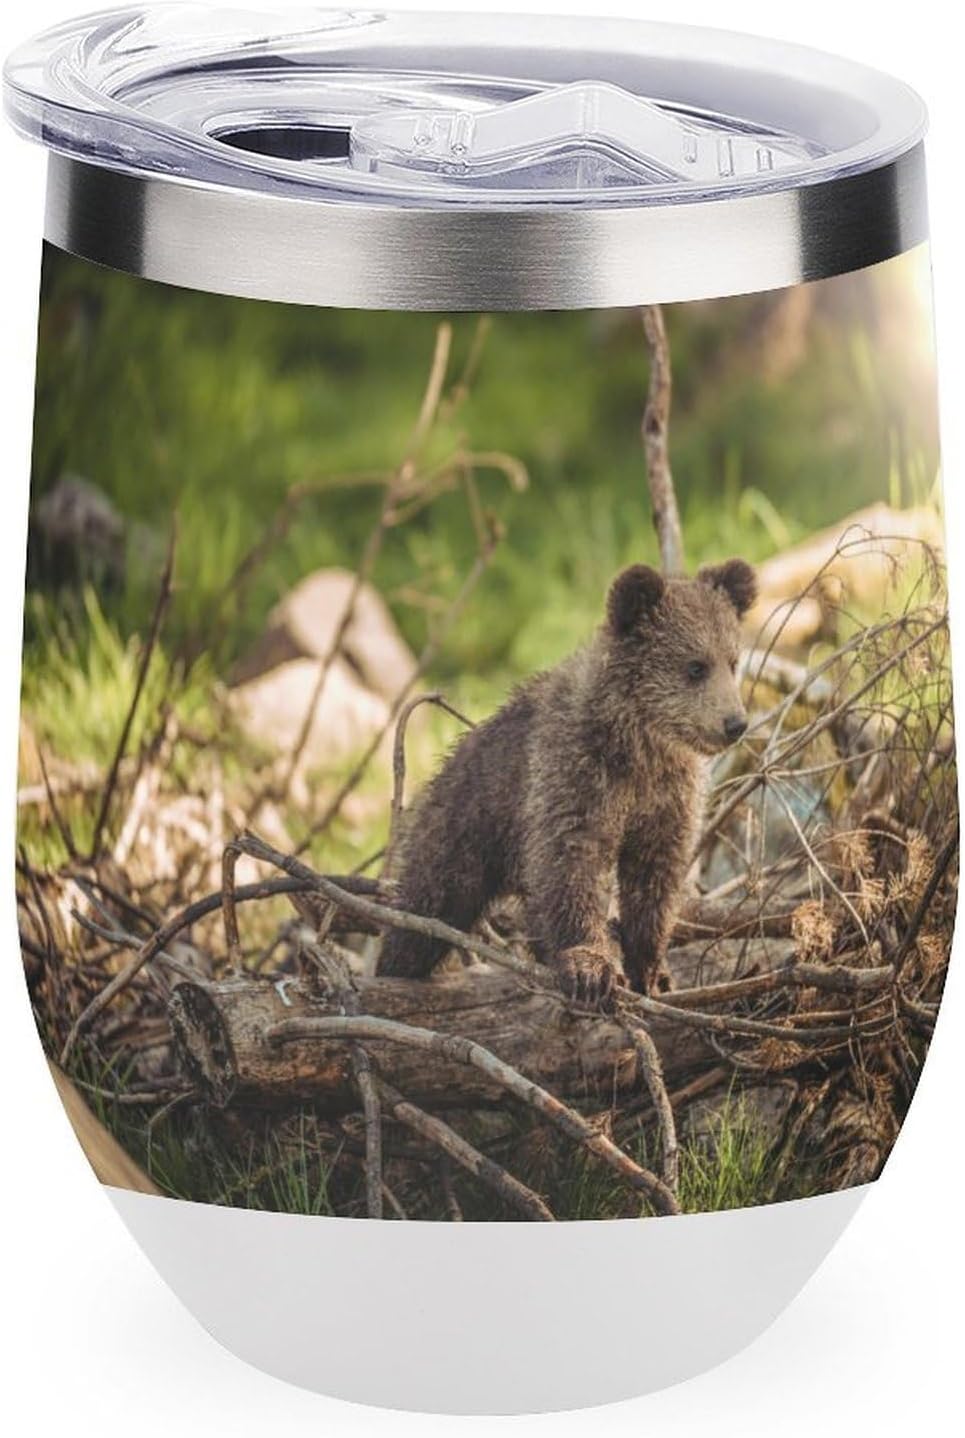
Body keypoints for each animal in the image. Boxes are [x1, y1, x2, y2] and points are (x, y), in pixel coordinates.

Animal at [377, 558, 757, 1003]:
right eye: (695, 666)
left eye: (733, 661)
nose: (735, 723)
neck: (639, 745)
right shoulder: (575, 776)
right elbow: (572, 864)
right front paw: (590, 967)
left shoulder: (667, 799)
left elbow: (655, 878)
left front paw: (652, 971)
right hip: (463, 828)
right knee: (426, 906)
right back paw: (396, 967)